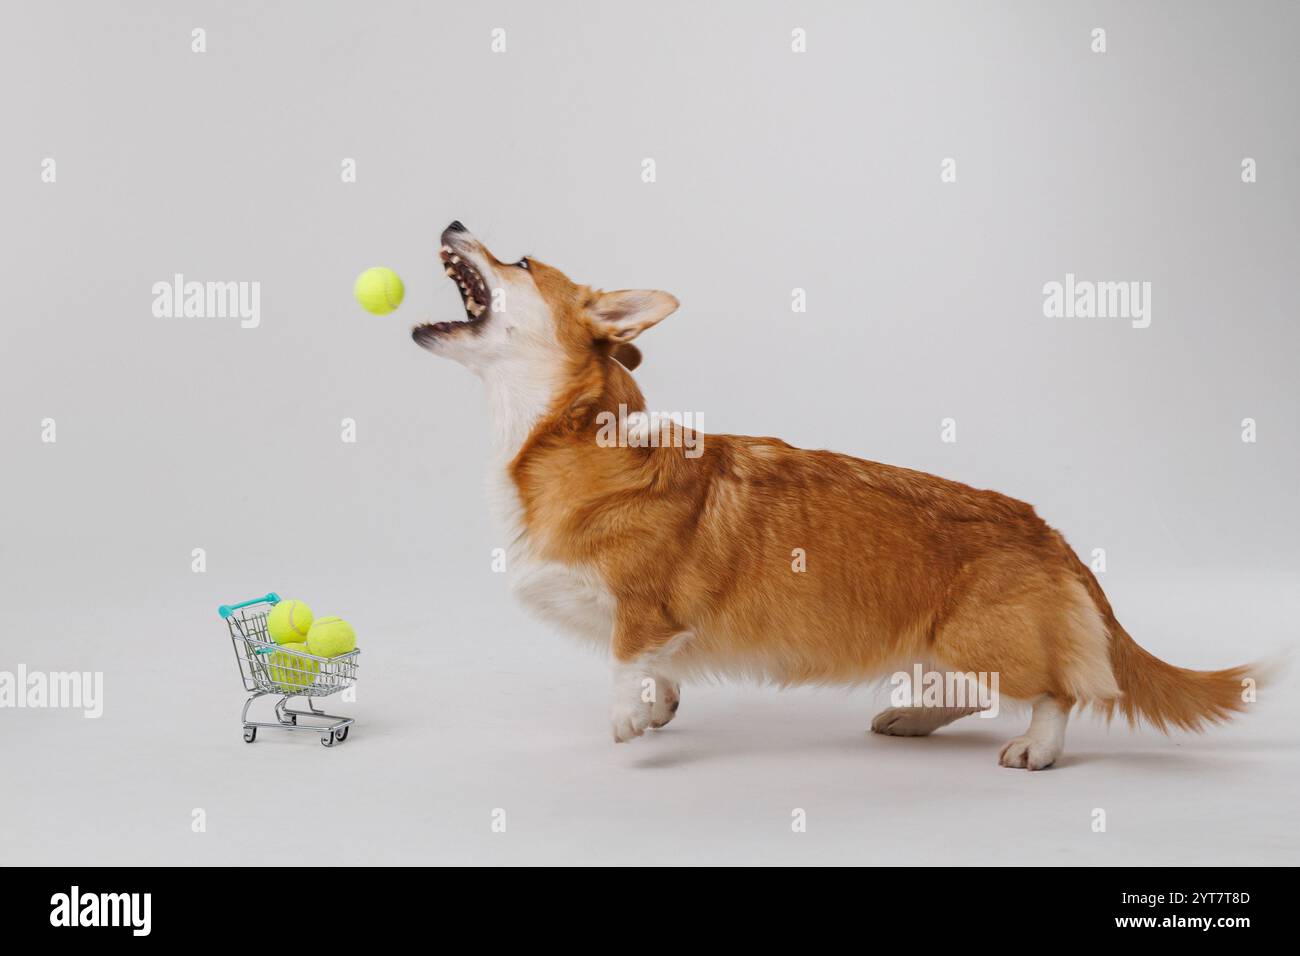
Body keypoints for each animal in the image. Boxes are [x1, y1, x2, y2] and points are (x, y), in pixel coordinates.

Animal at [416, 222, 1258, 770]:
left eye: (521, 259)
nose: (454, 220)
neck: (562, 436)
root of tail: (1045, 529)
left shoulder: (643, 605)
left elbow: (628, 657)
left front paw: (627, 720)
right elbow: (661, 670)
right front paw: (658, 708)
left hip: (979, 640)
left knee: (1060, 689)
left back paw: (1035, 748)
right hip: (948, 647)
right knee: (975, 693)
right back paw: (910, 719)